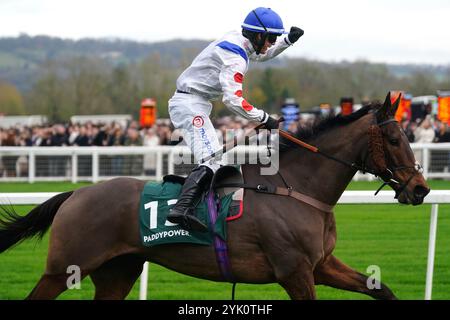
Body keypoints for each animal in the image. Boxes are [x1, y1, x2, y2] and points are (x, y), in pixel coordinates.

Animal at [0, 93, 428, 300]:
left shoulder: (320, 265)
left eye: (409, 135)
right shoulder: (294, 271)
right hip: (64, 268)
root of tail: (75, 194)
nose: (420, 189)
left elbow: (379, 288)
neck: (297, 188)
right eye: (394, 139)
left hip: (117, 271)